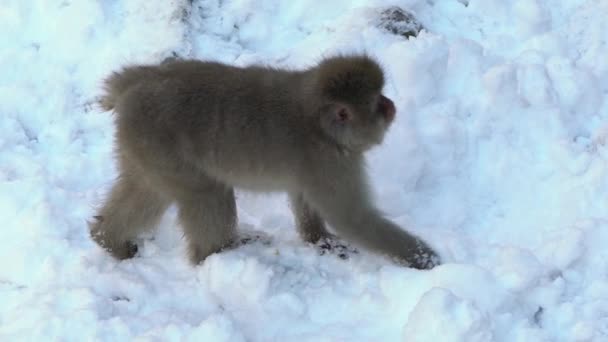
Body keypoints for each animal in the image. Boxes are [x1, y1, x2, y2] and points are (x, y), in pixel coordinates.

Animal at [90, 55, 440, 270]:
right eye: (376, 102)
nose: (390, 104)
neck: (318, 124)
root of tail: (134, 85)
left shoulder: (317, 168)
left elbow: (305, 198)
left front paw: (317, 238)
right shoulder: (330, 163)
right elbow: (353, 219)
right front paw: (422, 257)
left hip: (143, 148)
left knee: (147, 191)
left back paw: (107, 238)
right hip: (160, 145)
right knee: (208, 194)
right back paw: (217, 253)